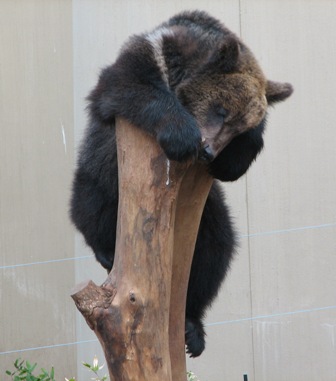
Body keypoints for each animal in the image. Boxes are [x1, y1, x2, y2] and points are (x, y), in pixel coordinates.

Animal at [69, 10, 292, 358]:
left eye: (240, 126)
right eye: (221, 109)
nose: (209, 150)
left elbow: (239, 161)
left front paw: (232, 159)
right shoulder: (142, 61)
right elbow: (128, 86)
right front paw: (182, 136)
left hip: (208, 213)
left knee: (216, 249)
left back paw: (191, 327)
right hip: (102, 177)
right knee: (90, 205)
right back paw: (104, 249)